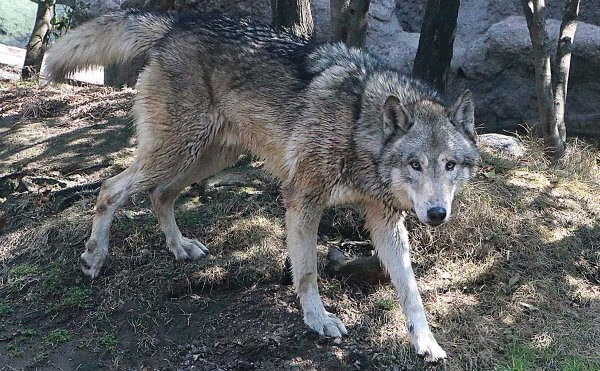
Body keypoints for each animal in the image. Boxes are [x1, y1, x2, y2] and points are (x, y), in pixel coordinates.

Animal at [44, 9, 480, 364]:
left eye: (450, 165)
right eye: (414, 164)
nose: (437, 214)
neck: (359, 126)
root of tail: (176, 24)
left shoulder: (385, 219)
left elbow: (411, 291)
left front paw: (426, 343)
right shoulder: (302, 200)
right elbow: (307, 272)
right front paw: (318, 320)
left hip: (206, 158)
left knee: (159, 195)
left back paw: (180, 247)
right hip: (174, 154)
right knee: (110, 188)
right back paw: (94, 258)